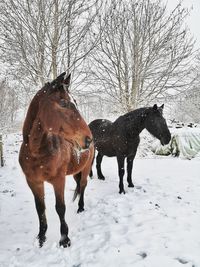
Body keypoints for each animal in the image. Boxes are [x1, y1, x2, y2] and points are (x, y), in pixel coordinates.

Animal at [18, 72, 94, 248]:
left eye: (76, 102)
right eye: (63, 102)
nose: (88, 140)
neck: (36, 153)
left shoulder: (59, 180)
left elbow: (60, 208)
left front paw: (64, 239)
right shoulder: (33, 182)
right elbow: (40, 208)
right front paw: (41, 237)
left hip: (85, 169)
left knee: (83, 186)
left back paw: (80, 208)